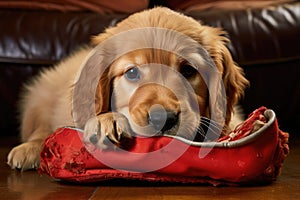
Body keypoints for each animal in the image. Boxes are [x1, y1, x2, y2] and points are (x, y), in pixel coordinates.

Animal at [6, 7, 248, 170]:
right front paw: (106, 121)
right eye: (132, 73)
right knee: (41, 127)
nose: (163, 119)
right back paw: (28, 149)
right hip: (41, 97)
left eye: (188, 70)